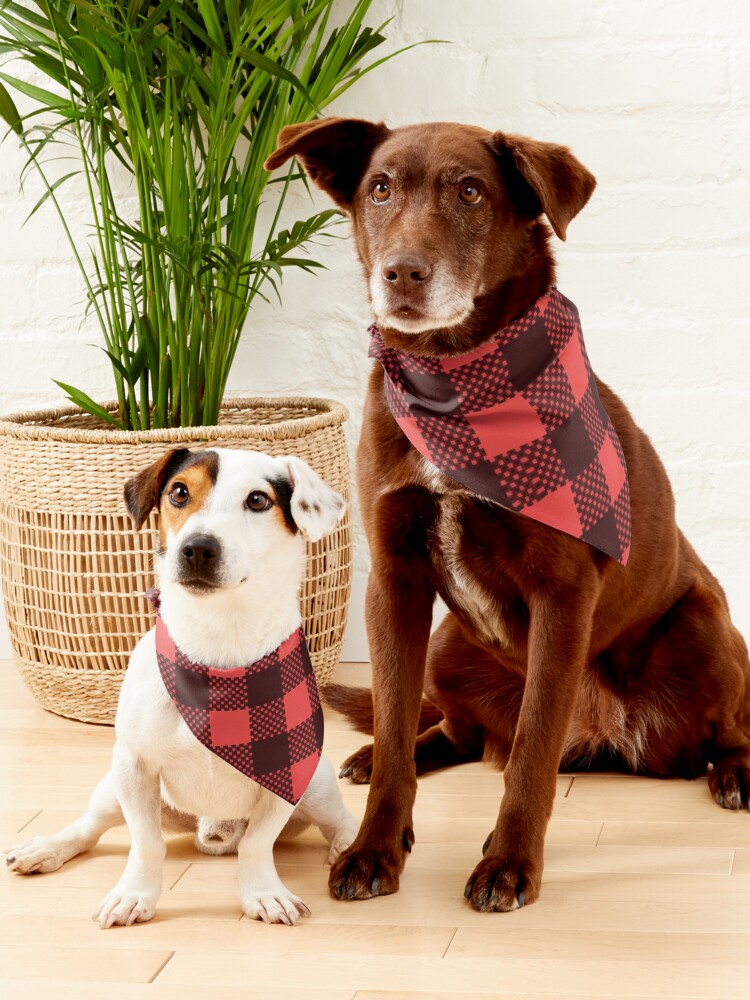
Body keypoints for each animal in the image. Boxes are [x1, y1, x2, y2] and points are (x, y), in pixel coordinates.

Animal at [5, 450, 358, 924]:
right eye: (179, 492)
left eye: (258, 500)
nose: (198, 547)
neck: (217, 647)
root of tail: (213, 829)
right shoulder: (133, 766)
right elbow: (146, 843)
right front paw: (134, 894)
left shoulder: (287, 773)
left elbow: (257, 844)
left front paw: (262, 893)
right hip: (113, 788)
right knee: (89, 828)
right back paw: (46, 848)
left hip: (316, 785)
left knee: (340, 820)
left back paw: (349, 849)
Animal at [266, 121, 750, 912]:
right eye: (380, 188)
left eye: (470, 192)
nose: (402, 273)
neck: (454, 382)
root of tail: (611, 740)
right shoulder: (393, 581)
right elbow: (397, 722)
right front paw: (374, 847)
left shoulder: (563, 597)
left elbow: (530, 753)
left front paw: (508, 863)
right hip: (448, 647)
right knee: (454, 730)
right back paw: (379, 754)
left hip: (703, 631)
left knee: (729, 725)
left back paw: (735, 773)